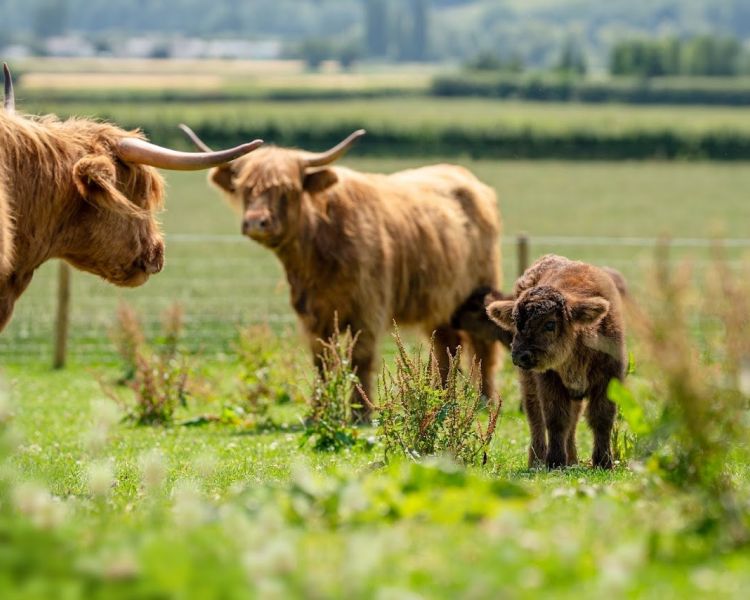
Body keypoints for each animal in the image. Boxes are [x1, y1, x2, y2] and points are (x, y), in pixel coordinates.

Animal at [180, 125, 502, 421]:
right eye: (246, 188)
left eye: (288, 190)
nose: (256, 222)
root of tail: (463, 176)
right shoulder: (313, 315)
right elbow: (321, 362)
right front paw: (318, 412)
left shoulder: (368, 309)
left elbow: (360, 359)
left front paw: (361, 413)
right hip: (440, 302)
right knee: (446, 346)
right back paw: (442, 400)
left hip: (480, 291)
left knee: (482, 346)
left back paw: (482, 401)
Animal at [485, 255, 627, 470]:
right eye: (516, 323)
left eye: (550, 324)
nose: (520, 355)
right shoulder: (549, 381)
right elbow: (555, 420)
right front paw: (555, 462)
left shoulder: (609, 377)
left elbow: (601, 418)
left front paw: (603, 462)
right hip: (529, 382)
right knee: (535, 415)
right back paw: (536, 461)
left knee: (573, 419)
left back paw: (573, 460)